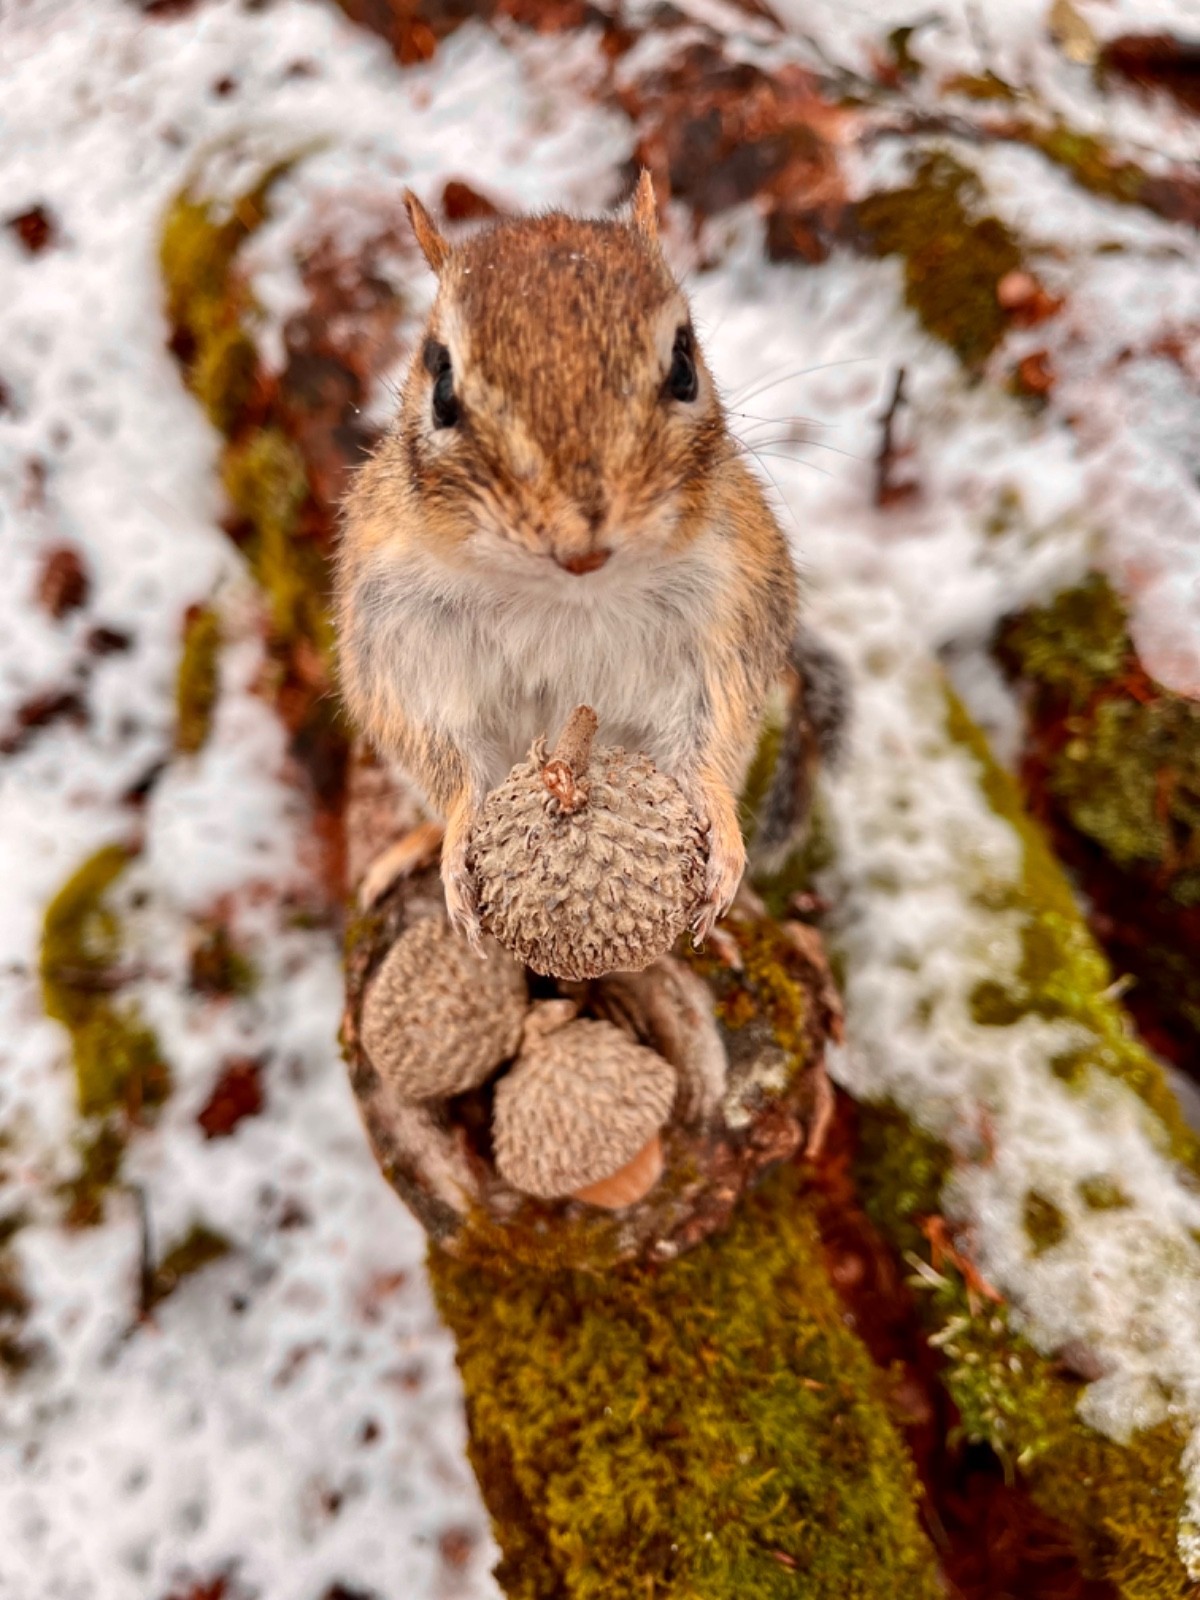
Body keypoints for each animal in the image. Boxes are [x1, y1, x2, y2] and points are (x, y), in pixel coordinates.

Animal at [336, 172, 847, 943]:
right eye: (442, 386)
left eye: (685, 365)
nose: (580, 545)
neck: (563, 595)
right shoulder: (400, 643)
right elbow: (445, 761)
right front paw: (452, 843)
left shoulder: (729, 617)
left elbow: (712, 742)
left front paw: (725, 844)